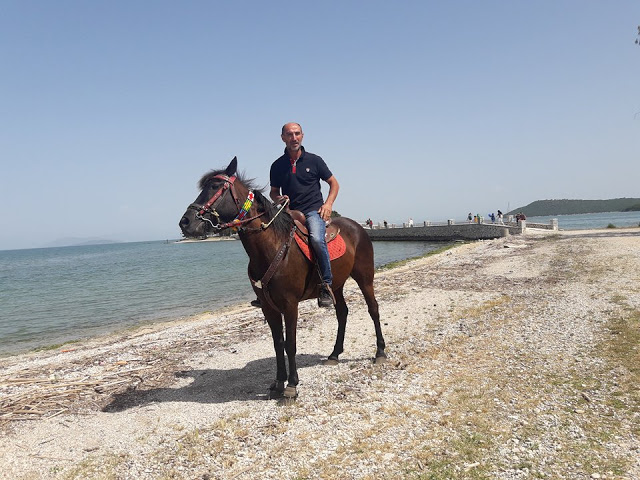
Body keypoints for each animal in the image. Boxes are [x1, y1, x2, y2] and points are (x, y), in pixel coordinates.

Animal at [178, 158, 384, 398]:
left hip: (364, 277)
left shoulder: (290, 304)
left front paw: (292, 385)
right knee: (342, 313)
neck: (273, 246)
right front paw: (278, 382)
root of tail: (358, 227)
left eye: (215, 187)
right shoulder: (268, 307)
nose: (185, 222)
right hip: (337, 286)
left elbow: (290, 344)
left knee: (373, 309)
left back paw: (380, 352)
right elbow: (278, 343)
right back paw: (334, 354)